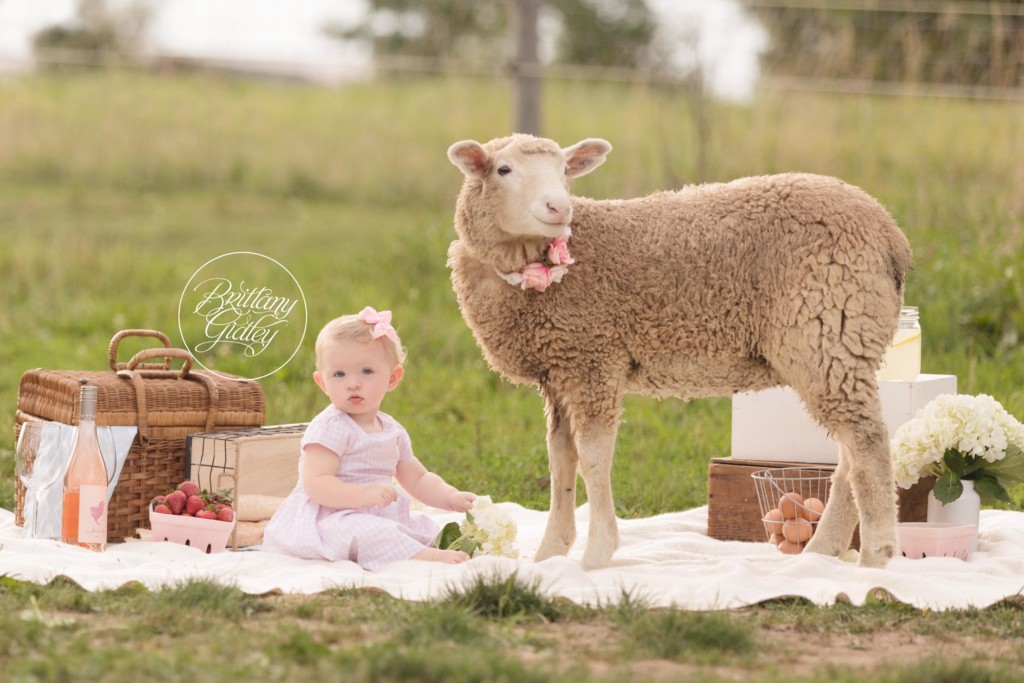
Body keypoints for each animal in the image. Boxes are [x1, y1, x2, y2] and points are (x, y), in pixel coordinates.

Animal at [446, 133, 912, 569]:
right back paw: (822, 551)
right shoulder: (560, 369)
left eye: (564, 170)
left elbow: (594, 459)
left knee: (868, 444)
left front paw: (595, 555)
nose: (560, 208)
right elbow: (561, 459)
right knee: (850, 454)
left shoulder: (594, 359)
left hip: (827, 329)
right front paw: (548, 556)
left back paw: (876, 555)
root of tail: (891, 234)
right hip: (835, 348)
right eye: (503, 169)